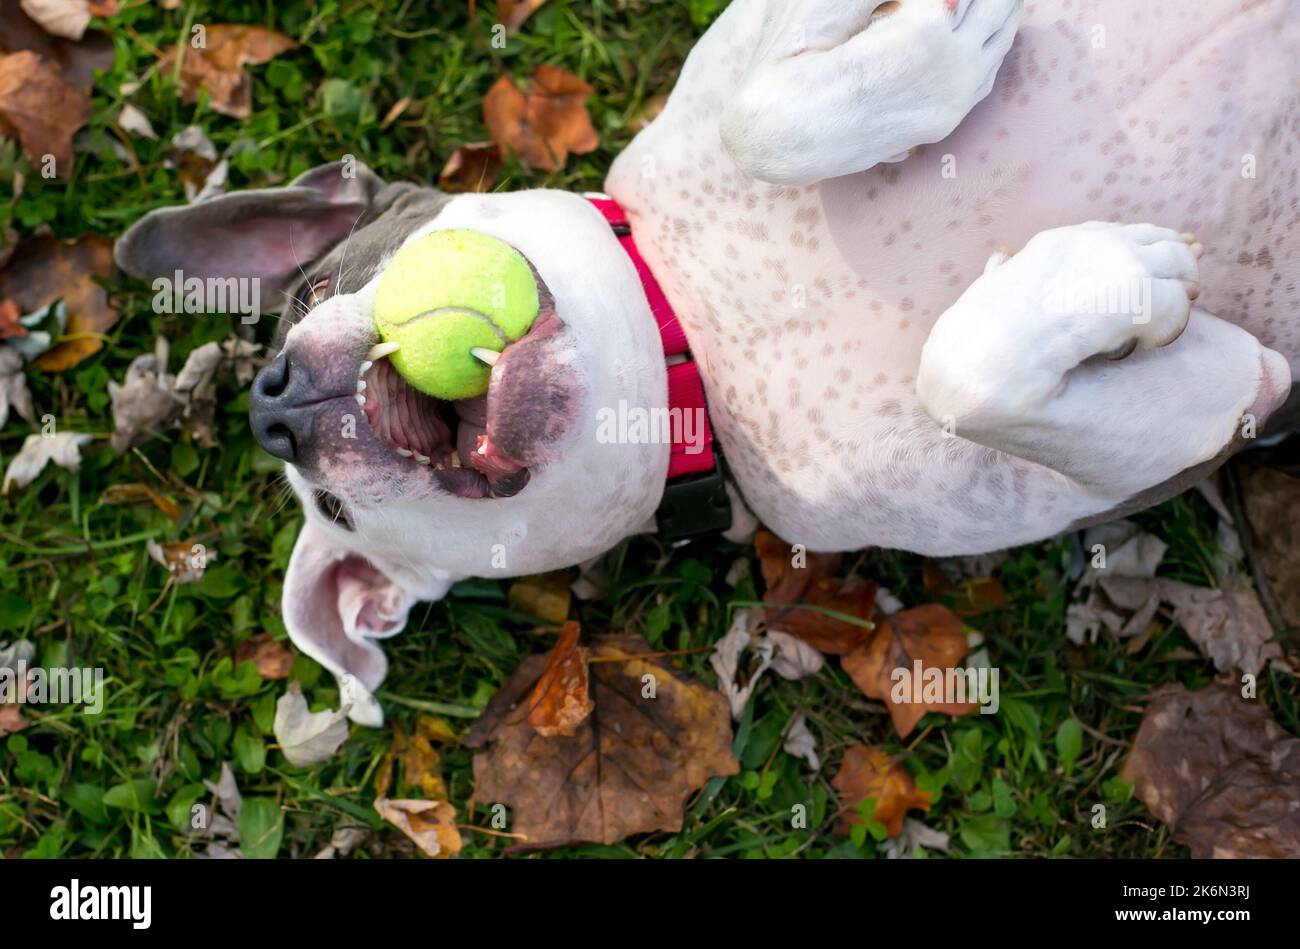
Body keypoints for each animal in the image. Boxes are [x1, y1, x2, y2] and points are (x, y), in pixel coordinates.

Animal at [116, 1, 1294, 722]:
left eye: (316, 291)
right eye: (336, 513)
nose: (273, 405)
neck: (697, 329)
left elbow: (757, 117)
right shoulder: (1166, 433)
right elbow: (970, 367)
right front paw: (1110, 284)